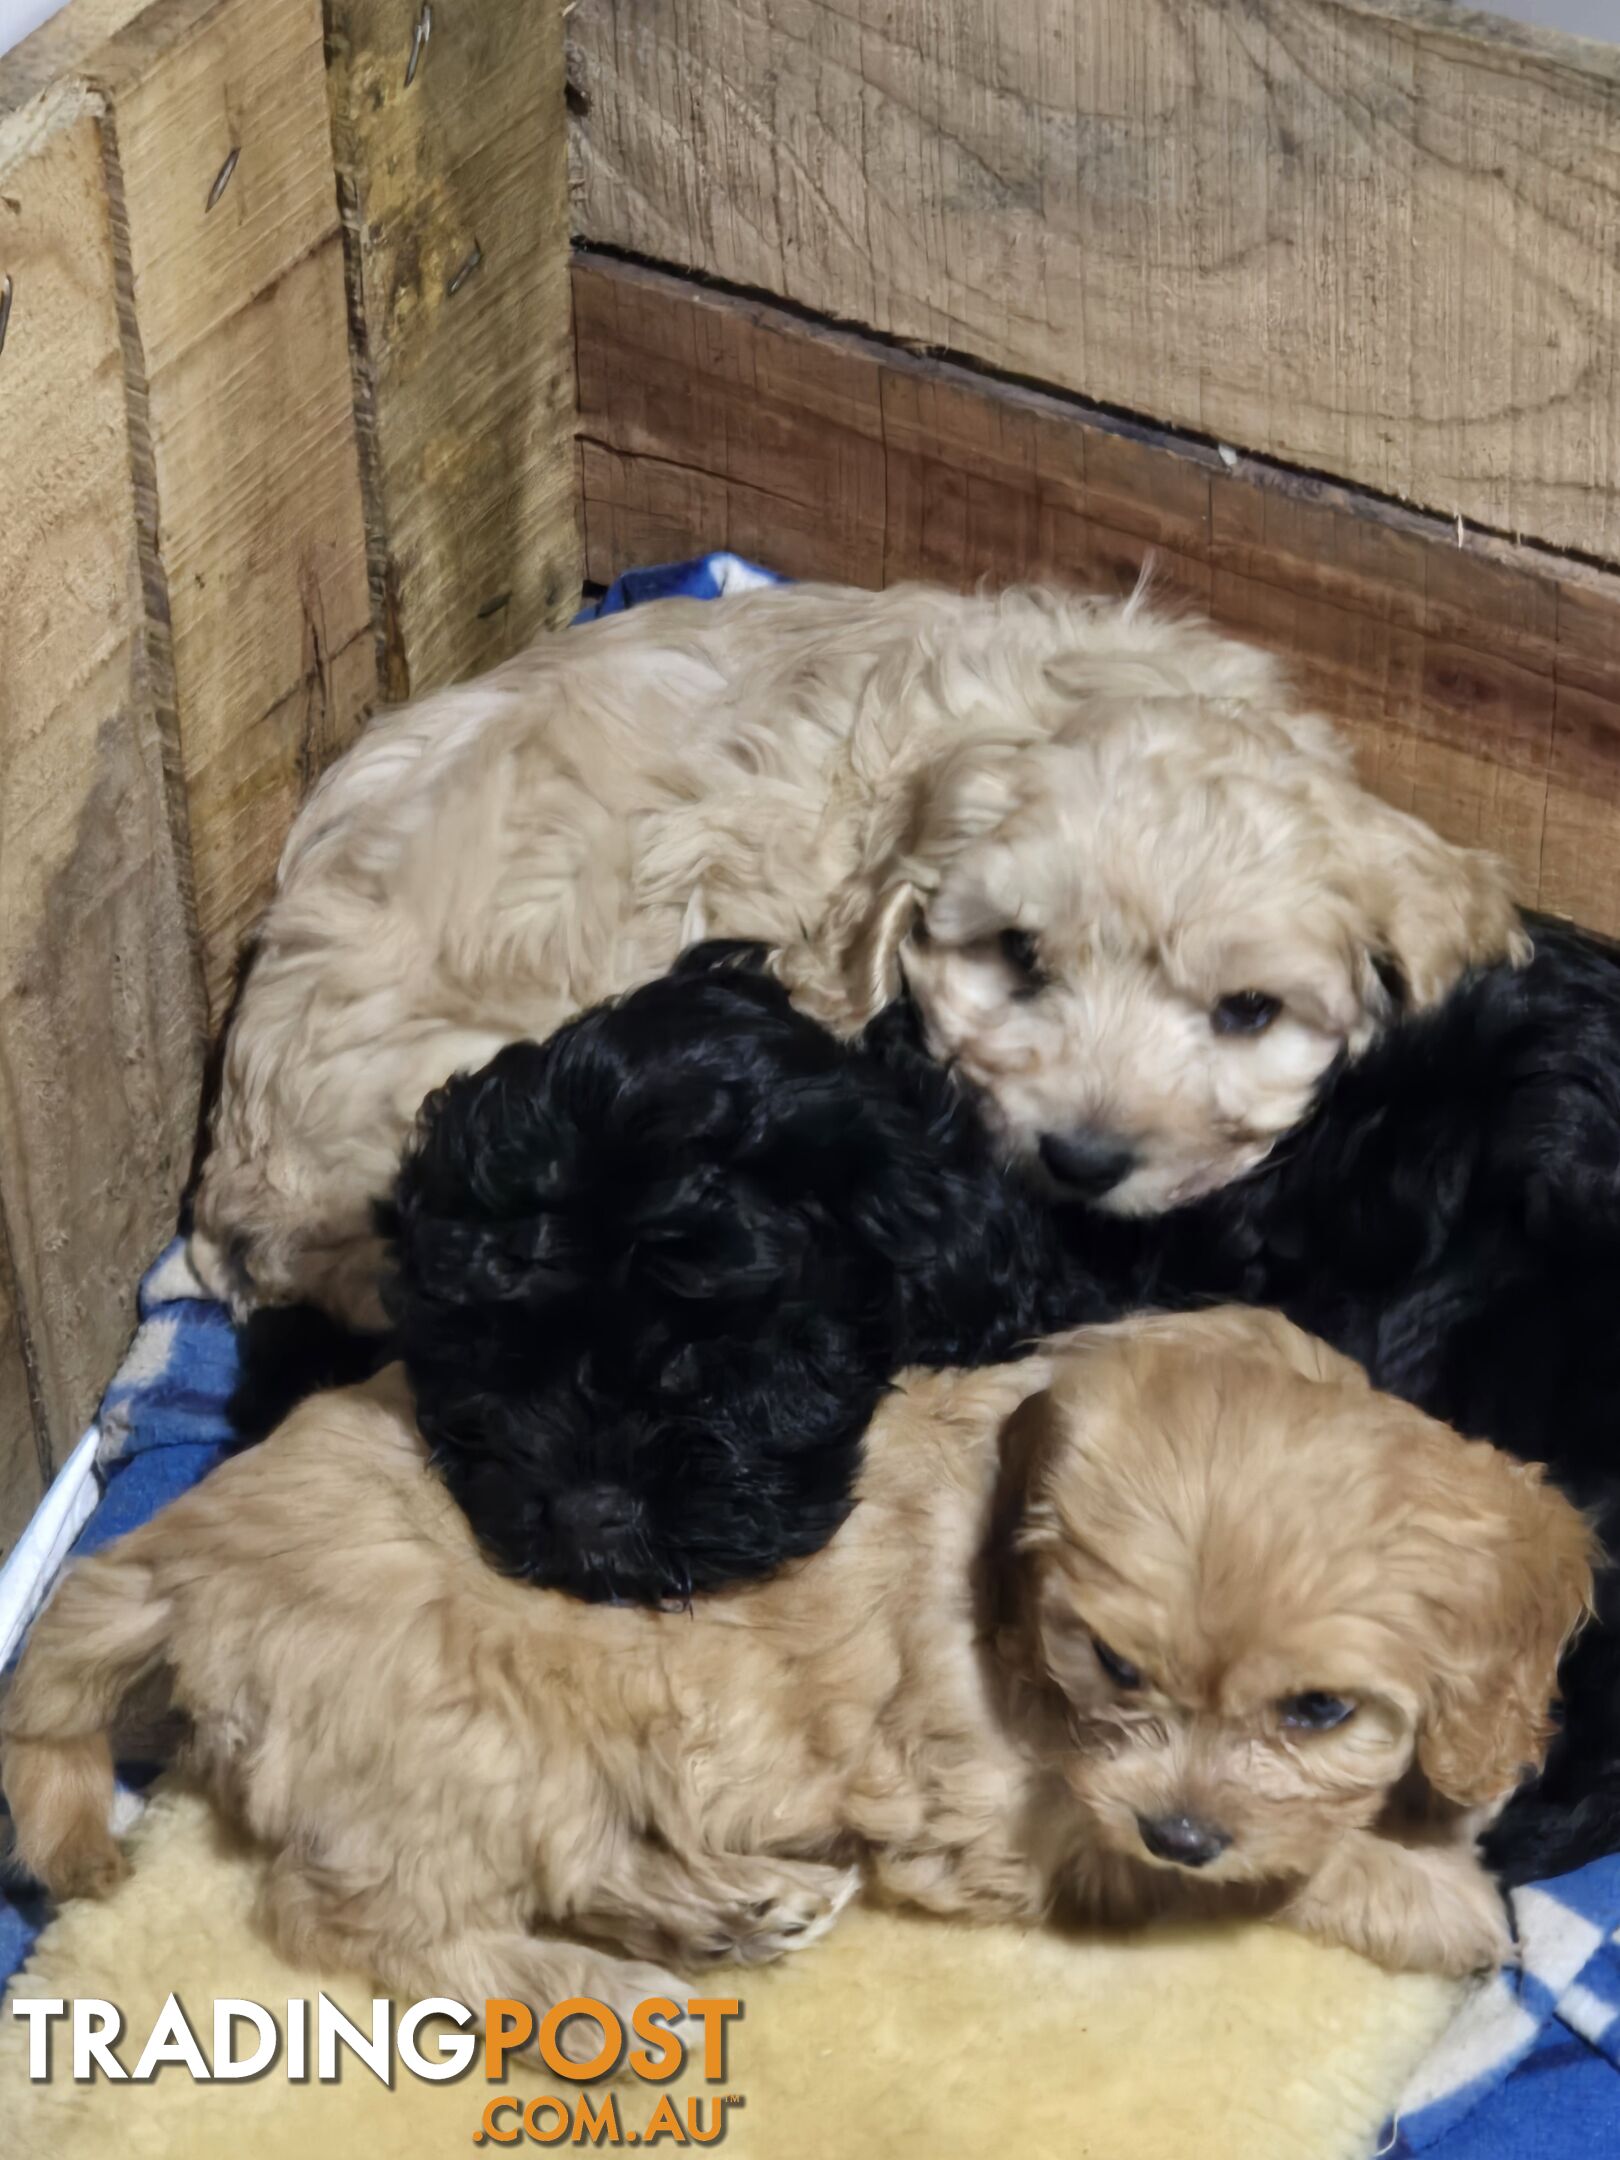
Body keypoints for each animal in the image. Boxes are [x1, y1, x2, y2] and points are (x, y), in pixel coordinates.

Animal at [0, 1304, 1589, 2030]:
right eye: (1112, 1666)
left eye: (1320, 1709)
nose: (1182, 1826)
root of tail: (180, 1549)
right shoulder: (1023, 1827)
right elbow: (1267, 1870)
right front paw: (1443, 1900)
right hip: (459, 1734)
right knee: (374, 1927)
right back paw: (613, 1996)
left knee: (572, 1858)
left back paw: (727, 1912)